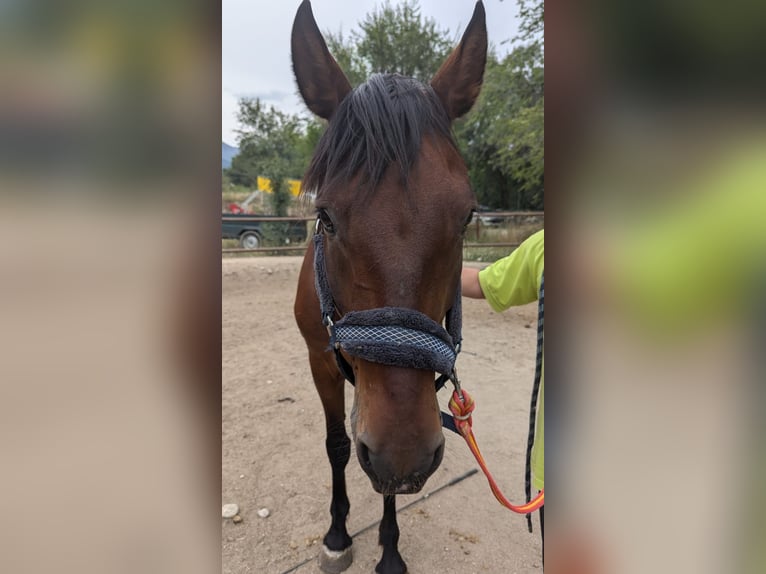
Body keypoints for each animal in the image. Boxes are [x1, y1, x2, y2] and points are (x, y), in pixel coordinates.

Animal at [292, 2, 488, 572]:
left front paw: (391, 550)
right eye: (326, 217)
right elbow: (340, 445)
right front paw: (339, 535)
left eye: (467, 216)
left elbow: (383, 479)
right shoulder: (319, 360)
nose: (404, 456)